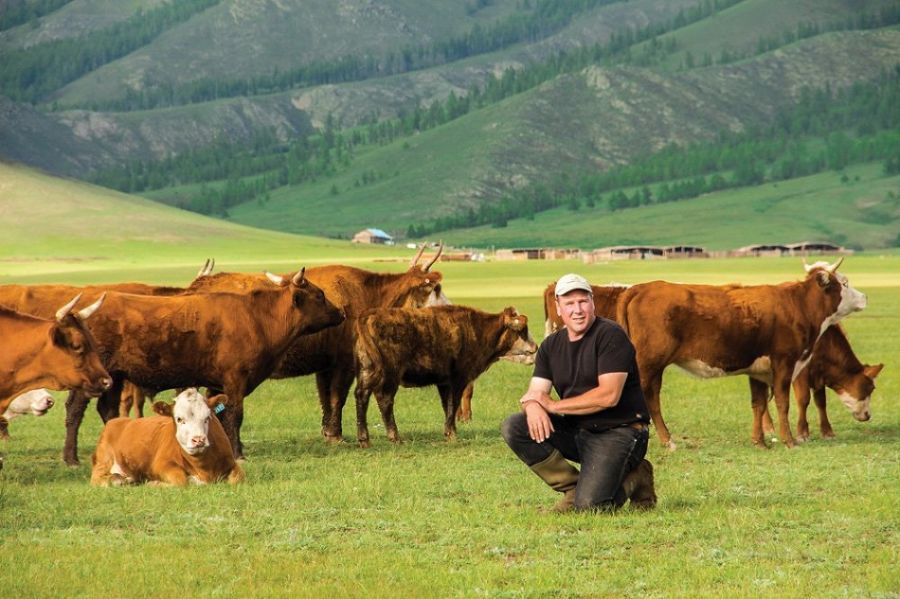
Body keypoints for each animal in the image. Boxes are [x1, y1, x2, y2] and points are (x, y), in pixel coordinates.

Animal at [90, 390, 244, 488]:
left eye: (207, 417)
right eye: (179, 419)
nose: (198, 440)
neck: (204, 467)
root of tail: (118, 421)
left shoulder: (232, 462)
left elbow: (238, 478)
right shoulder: (161, 463)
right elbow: (181, 480)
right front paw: (155, 483)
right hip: (104, 460)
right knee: (97, 478)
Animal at [187, 244, 450, 446]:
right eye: (435, 288)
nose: (451, 309)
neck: (366, 294)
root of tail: (199, 284)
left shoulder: (325, 365)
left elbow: (325, 397)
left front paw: (328, 432)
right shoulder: (345, 363)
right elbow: (337, 397)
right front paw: (336, 436)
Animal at [352, 308, 536, 448]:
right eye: (522, 330)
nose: (535, 346)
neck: (476, 330)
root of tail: (369, 315)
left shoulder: (444, 382)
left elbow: (446, 406)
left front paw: (449, 432)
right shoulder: (459, 379)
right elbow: (453, 405)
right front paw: (452, 434)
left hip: (368, 370)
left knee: (362, 395)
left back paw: (364, 439)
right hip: (391, 374)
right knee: (385, 400)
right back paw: (395, 437)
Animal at [616, 258, 868, 450]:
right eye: (844, 283)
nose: (865, 297)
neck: (797, 305)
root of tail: (642, 287)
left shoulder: (758, 371)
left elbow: (759, 404)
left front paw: (760, 442)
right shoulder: (784, 363)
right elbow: (783, 403)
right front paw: (790, 441)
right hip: (649, 364)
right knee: (649, 399)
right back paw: (666, 441)